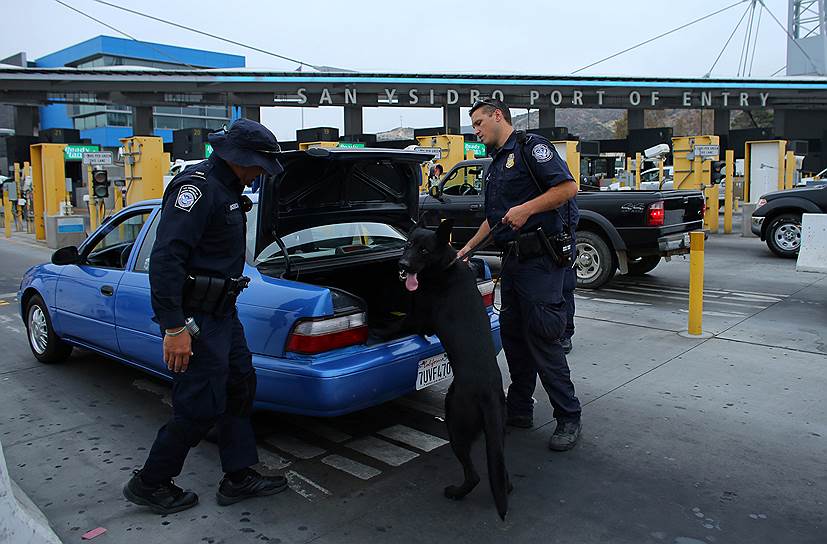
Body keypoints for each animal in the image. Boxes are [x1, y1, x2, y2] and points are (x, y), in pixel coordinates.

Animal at [396, 219, 508, 520]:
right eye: (408, 244)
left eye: (423, 250)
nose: (402, 264)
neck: (444, 266)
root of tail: (489, 394)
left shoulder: (419, 319)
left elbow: (397, 325)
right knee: (501, 473)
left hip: (455, 421)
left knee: (474, 475)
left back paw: (456, 492)